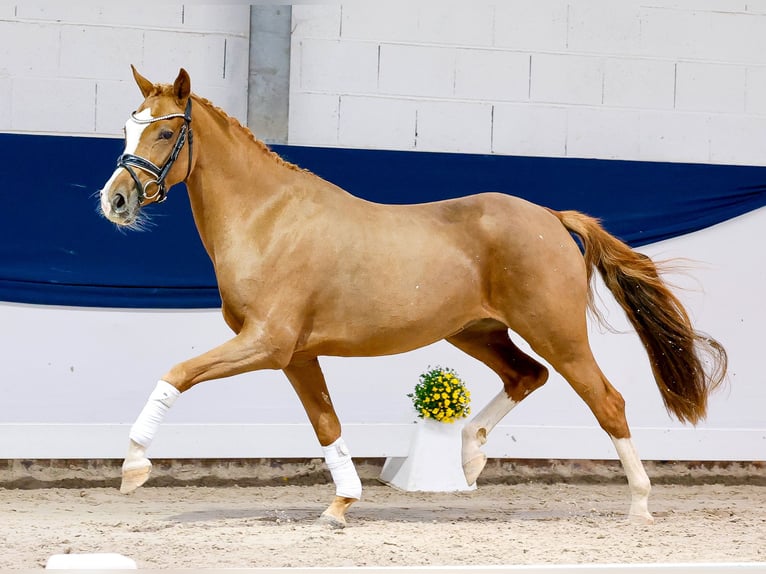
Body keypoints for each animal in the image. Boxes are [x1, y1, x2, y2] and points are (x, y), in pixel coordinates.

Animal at [99, 66, 727, 528]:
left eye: (163, 131)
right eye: (128, 129)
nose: (116, 201)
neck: (269, 220)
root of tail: (550, 217)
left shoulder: (267, 344)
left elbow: (176, 374)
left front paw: (134, 467)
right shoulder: (297, 355)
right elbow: (326, 425)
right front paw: (341, 505)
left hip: (558, 332)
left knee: (607, 401)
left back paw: (639, 504)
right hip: (476, 331)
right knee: (527, 376)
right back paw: (469, 459)